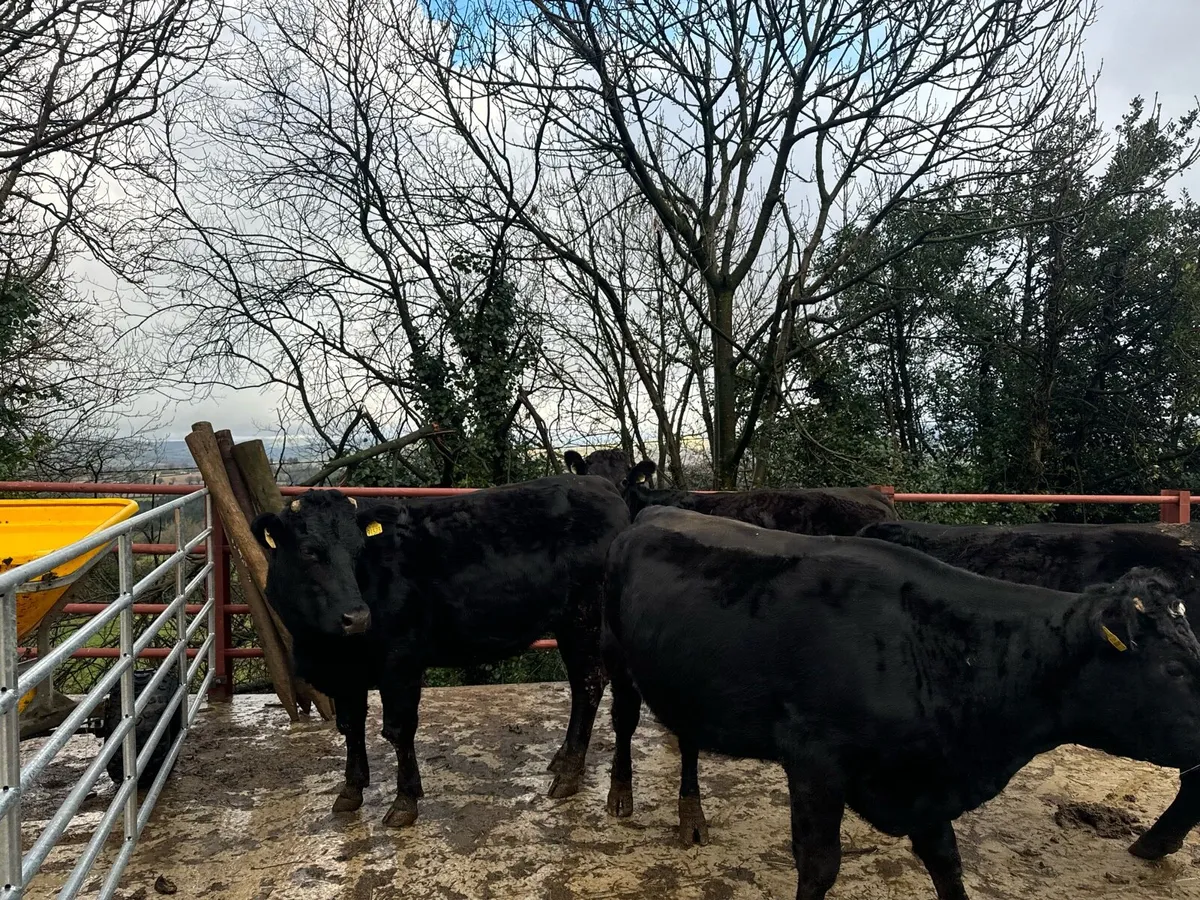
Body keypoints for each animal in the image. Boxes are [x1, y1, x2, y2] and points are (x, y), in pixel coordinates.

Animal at [250, 476, 629, 828]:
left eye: (358, 550)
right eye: (309, 551)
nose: (356, 617)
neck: (321, 645)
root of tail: (599, 485)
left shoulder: (400, 661)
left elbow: (398, 730)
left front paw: (405, 801)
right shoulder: (345, 674)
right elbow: (350, 726)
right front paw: (350, 790)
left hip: (585, 618)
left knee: (589, 683)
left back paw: (569, 773)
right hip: (569, 625)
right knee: (581, 686)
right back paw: (563, 759)